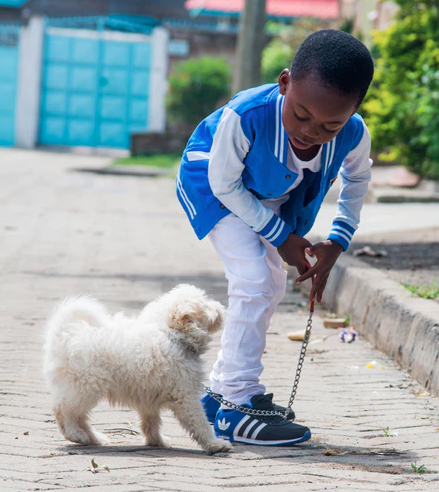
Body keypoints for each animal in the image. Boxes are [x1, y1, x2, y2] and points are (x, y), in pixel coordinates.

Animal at [43, 284, 232, 454]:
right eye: (206, 305)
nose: (220, 306)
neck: (172, 335)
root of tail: (64, 335)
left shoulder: (149, 397)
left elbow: (150, 422)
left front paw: (157, 441)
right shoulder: (186, 397)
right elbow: (200, 423)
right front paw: (215, 444)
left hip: (83, 388)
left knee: (79, 416)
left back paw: (93, 438)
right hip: (86, 386)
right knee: (63, 409)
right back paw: (75, 435)